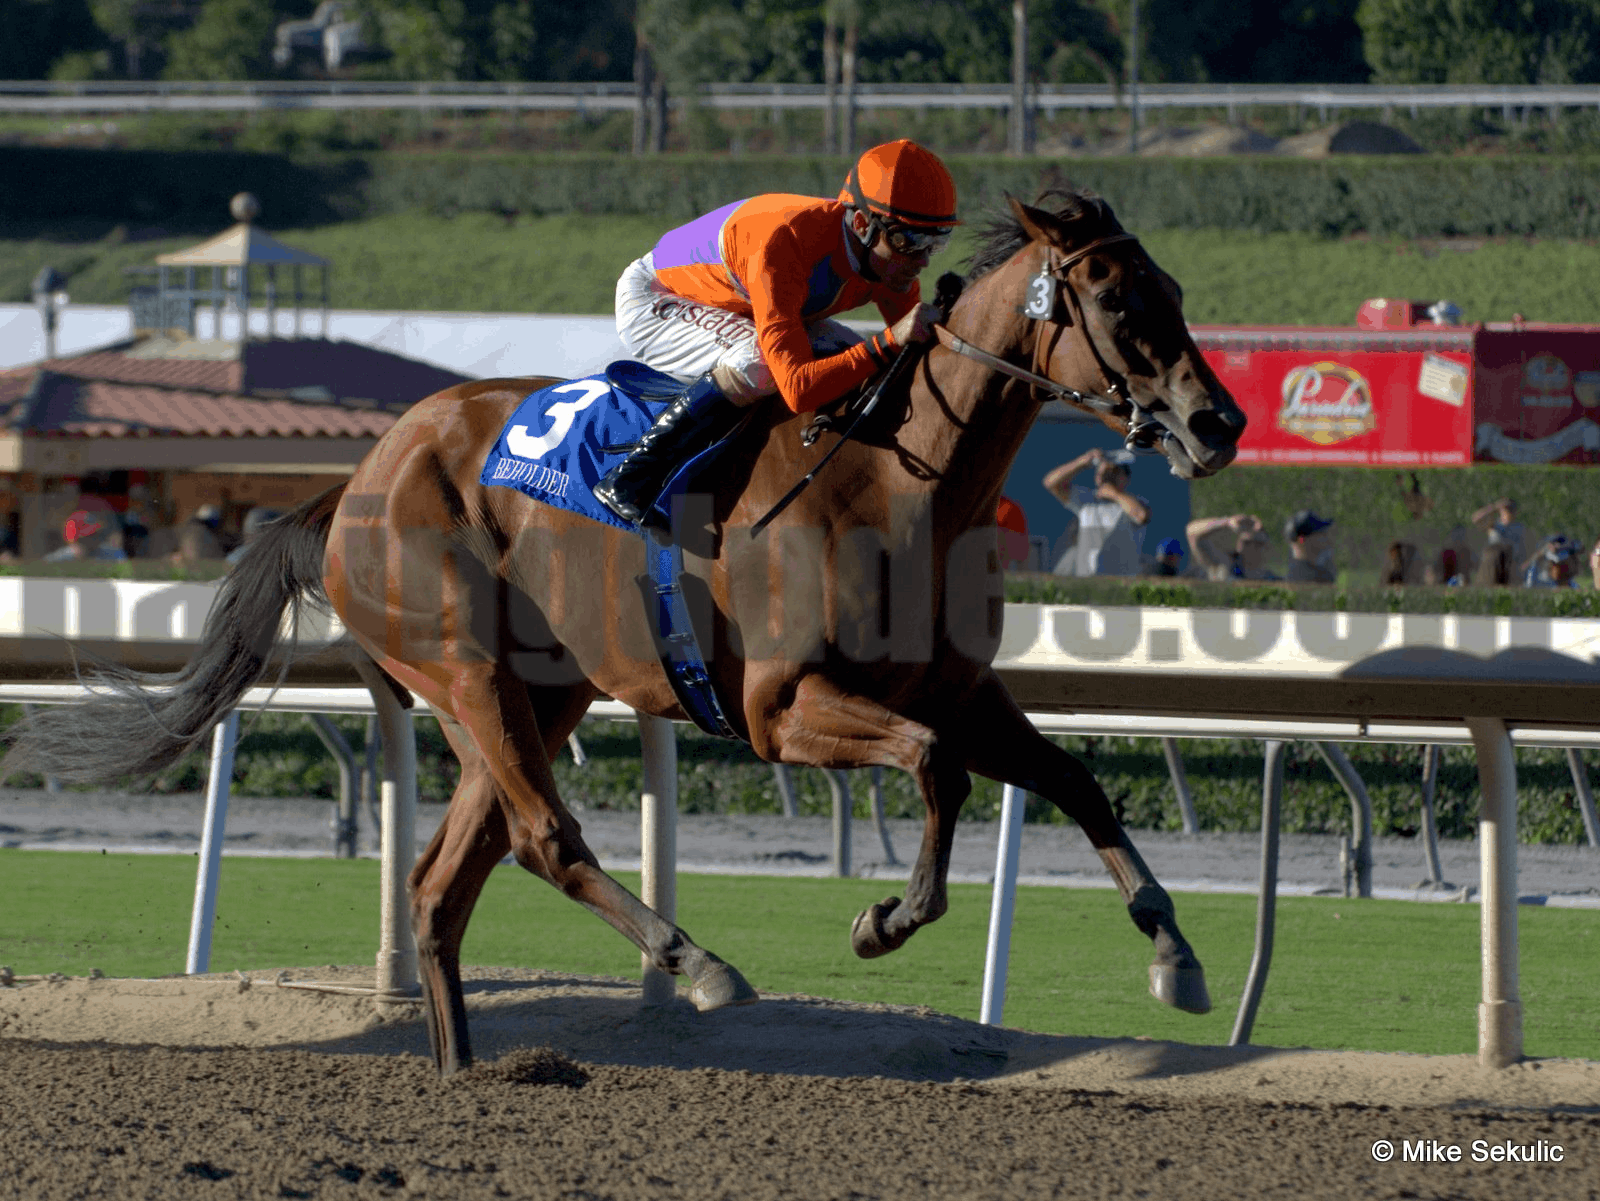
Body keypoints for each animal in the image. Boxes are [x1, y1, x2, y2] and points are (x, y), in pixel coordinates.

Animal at [4, 190, 1246, 1076]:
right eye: (1122, 305)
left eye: (1178, 288)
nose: (1217, 422)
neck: (897, 477)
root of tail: (352, 476)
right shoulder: (777, 709)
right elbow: (936, 769)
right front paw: (885, 919)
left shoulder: (958, 685)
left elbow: (1073, 779)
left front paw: (1177, 959)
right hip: (465, 669)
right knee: (543, 839)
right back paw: (696, 965)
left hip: (537, 691)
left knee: (442, 881)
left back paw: (467, 1073)